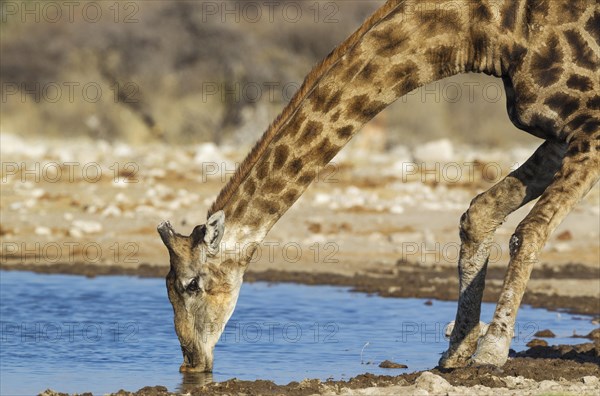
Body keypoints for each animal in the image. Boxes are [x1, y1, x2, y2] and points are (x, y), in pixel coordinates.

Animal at [158, 0, 600, 372]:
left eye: (191, 284)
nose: (191, 361)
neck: (489, 31)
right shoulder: (561, 135)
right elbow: (479, 214)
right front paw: (456, 353)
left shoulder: (590, 132)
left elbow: (529, 231)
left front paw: (491, 352)